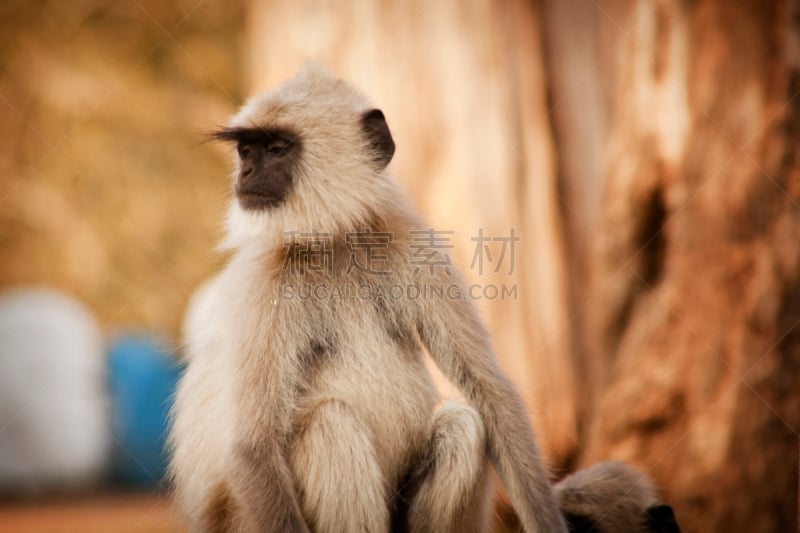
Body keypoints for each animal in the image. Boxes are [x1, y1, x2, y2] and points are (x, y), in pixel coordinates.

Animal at [169, 66, 680, 532]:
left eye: (276, 149)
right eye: (246, 149)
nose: (247, 171)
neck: (333, 241)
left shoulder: (413, 244)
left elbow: (489, 390)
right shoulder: (263, 282)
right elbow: (252, 448)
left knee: (462, 423)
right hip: (240, 519)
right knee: (330, 423)